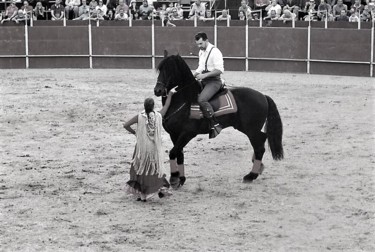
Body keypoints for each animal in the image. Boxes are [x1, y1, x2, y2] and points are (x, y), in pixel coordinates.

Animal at [154, 55, 284, 188]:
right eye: (160, 70)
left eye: (170, 70)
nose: (158, 90)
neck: (185, 101)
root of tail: (263, 96)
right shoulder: (174, 134)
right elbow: (179, 154)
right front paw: (181, 179)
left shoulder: (187, 134)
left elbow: (172, 153)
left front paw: (174, 179)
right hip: (249, 129)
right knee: (262, 140)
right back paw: (258, 168)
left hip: (251, 130)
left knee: (259, 147)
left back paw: (251, 175)